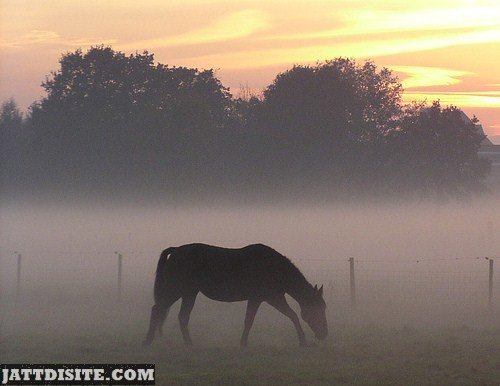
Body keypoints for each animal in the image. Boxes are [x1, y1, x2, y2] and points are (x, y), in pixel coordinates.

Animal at [142, 241, 328, 346]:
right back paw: (148, 340)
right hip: (176, 290)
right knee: (157, 309)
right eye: (318, 308)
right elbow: (293, 315)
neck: (273, 268)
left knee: (182, 316)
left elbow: (249, 321)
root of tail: (176, 250)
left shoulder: (256, 299)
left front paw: (243, 342)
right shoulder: (273, 298)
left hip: (189, 293)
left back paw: (188, 343)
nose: (324, 334)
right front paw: (302, 340)